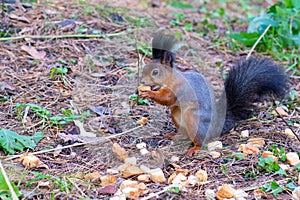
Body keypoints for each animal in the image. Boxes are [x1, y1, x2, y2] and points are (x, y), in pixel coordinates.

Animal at [139, 31, 290, 156]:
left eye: (155, 72)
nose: (142, 80)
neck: (171, 79)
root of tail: (217, 125)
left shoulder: (179, 88)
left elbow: (167, 99)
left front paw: (148, 93)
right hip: (177, 113)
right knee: (185, 133)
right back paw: (175, 136)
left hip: (193, 118)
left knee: (200, 139)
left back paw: (195, 148)